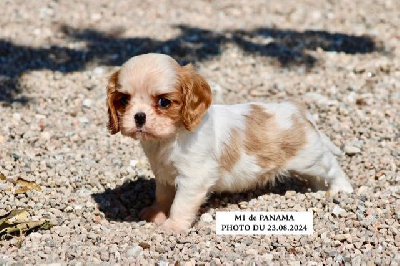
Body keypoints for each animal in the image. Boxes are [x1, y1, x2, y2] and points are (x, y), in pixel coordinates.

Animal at [106, 53, 354, 232]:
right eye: (124, 100)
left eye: (164, 102)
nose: (139, 117)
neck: (169, 138)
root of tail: (297, 109)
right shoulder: (164, 174)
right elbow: (164, 196)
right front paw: (156, 213)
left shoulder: (194, 177)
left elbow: (180, 204)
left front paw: (173, 226)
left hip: (311, 158)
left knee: (332, 168)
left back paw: (342, 190)